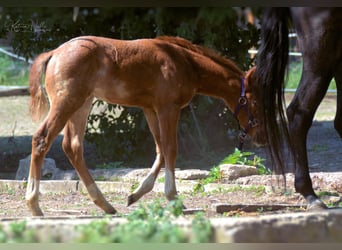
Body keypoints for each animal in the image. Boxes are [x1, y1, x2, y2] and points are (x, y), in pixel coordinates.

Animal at [27, 35, 264, 217]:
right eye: (254, 101)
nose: (260, 137)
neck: (185, 63)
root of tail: (54, 53)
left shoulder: (150, 109)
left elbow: (160, 150)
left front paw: (136, 194)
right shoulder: (169, 108)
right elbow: (170, 149)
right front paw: (173, 197)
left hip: (82, 105)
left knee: (72, 147)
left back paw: (105, 204)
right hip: (67, 103)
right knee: (42, 138)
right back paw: (34, 204)